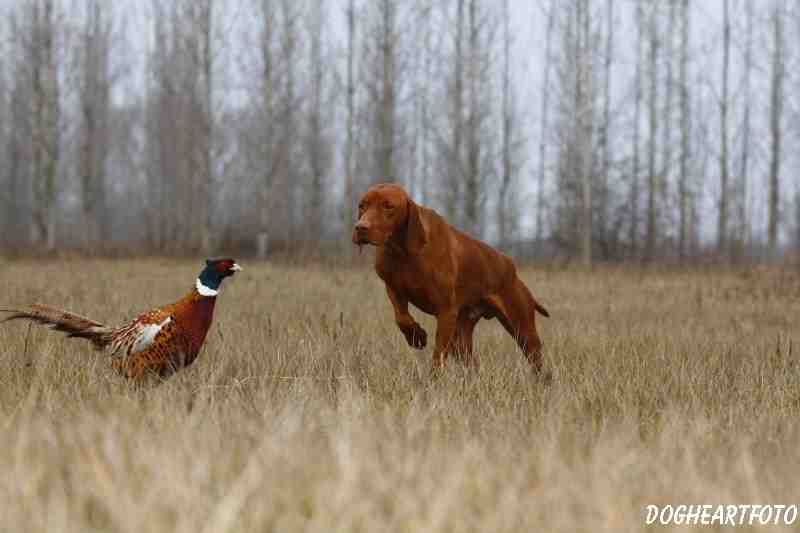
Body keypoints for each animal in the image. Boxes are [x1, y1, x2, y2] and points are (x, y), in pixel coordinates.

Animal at [354, 182, 548, 370]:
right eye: (362, 205)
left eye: (388, 206)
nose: (360, 227)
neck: (403, 253)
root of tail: (512, 269)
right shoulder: (394, 289)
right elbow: (401, 318)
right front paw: (416, 335)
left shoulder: (446, 312)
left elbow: (438, 357)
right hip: (461, 337)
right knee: (473, 365)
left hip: (523, 331)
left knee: (540, 366)